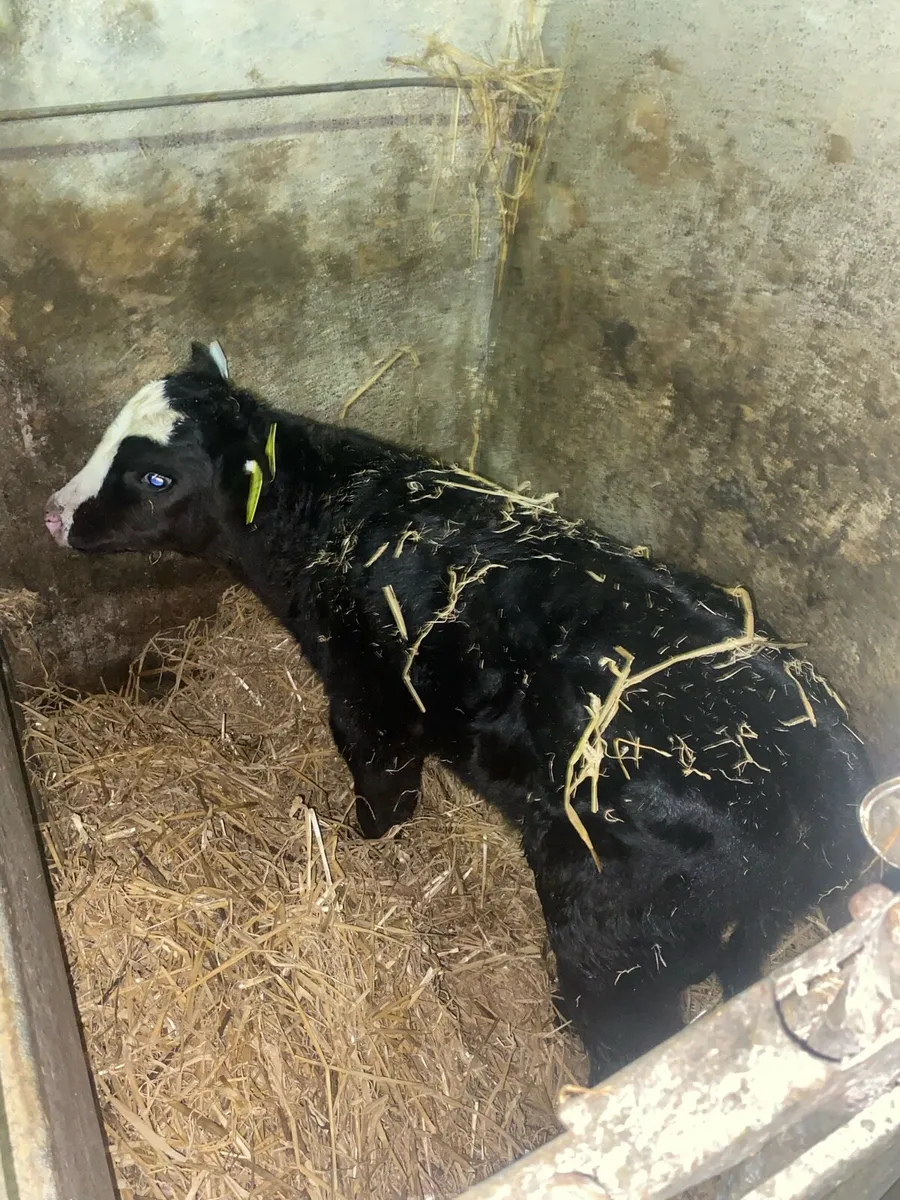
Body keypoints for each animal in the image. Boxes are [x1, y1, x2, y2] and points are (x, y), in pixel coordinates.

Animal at [45, 341, 881, 1084]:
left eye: (155, 477)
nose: (53, 515)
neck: (330, 518)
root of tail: (827, 784)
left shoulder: (370, 700)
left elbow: (383, 786)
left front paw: (367, 844)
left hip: (613, 927)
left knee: (627, 1029)